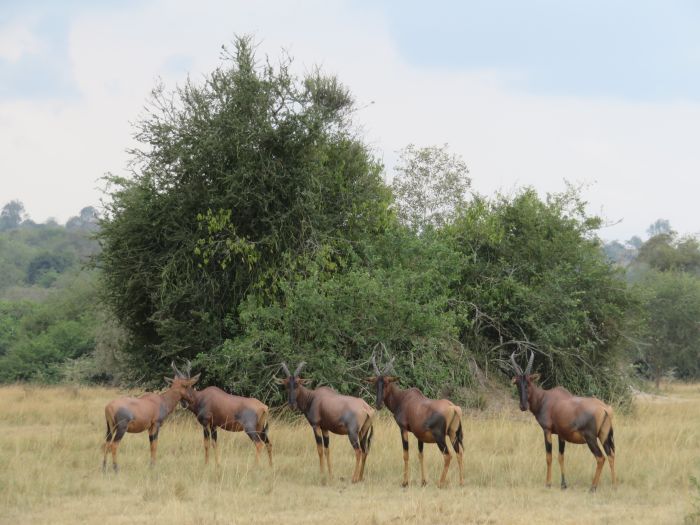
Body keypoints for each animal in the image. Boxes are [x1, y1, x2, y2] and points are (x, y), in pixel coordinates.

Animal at [370, 352, 462, 488]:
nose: (378, 405)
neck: (403, 398)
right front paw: (423, 481)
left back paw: (440, 483)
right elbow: (420, 455)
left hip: (440, 437)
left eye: (387, 382)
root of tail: (453, 407)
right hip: (453, 434)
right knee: (459, 453)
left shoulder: (403, 429)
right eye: (376, 383)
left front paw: (405, 482)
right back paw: (461, 482)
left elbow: (406, 454)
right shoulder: (419, 435)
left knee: (448, 456)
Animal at [508, 352, 616, 492]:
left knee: (601, 458)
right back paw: (614, 486)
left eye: (528, 382)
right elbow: (561, 457)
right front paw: (563, 485)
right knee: (611, 455)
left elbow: (549, 457)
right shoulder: (561, 434)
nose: (523, 406)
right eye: (517, 383)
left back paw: (592, 488)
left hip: (591, 438)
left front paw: (548, 484)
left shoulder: (547, 431)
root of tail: (604, 408)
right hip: (604, 437)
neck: (545, 398)